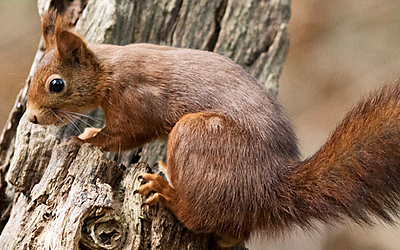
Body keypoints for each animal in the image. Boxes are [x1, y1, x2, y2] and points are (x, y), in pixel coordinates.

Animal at [25, 11, 400, 246]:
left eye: (56, 84)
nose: (31, 118)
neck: (109, 70)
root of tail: (268, 188)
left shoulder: (136, 102)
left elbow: (125, 135)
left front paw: (82, 139)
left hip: (197, 134)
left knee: (197, 217)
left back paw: (166, 192)